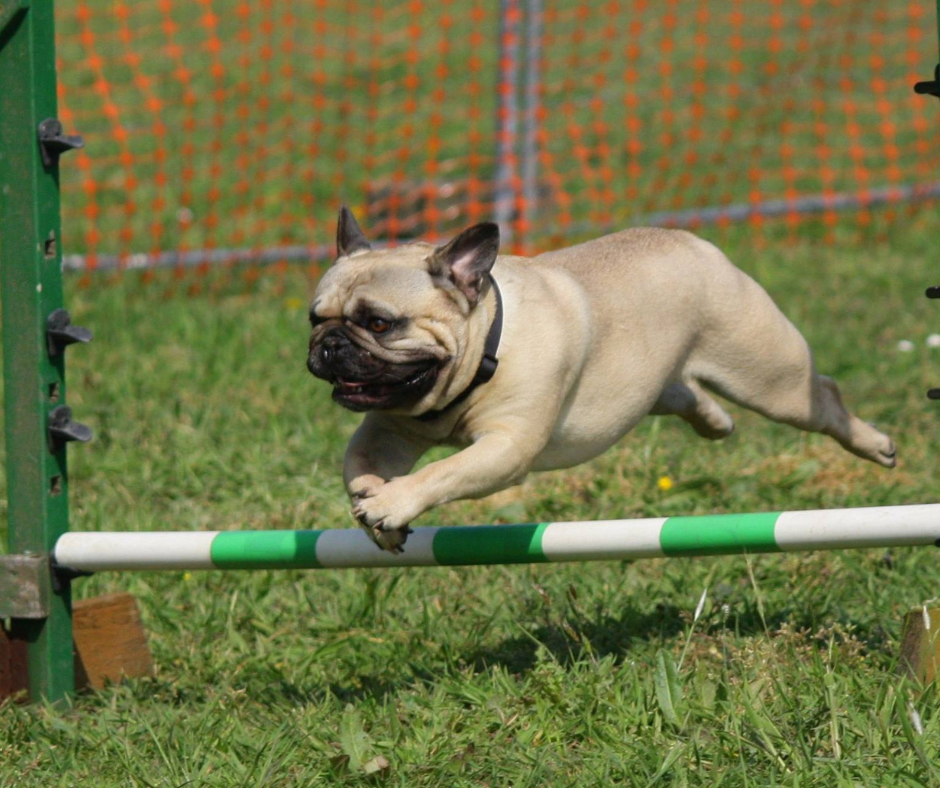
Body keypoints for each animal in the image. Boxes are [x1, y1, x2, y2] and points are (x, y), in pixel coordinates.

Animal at [308, 209, 896, 556]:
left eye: (379, 323)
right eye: (315, 318)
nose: (328, 344)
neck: (482, 350)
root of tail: (694, 244)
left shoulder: (506, 448)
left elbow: (444, 472)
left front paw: (391, 503)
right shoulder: (386, 430)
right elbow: (357, 464)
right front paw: (376, 504)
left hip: (769, 378)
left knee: (823, 398)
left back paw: (875, 444)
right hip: (656, 384)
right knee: (685, 394)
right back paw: (713, 420)